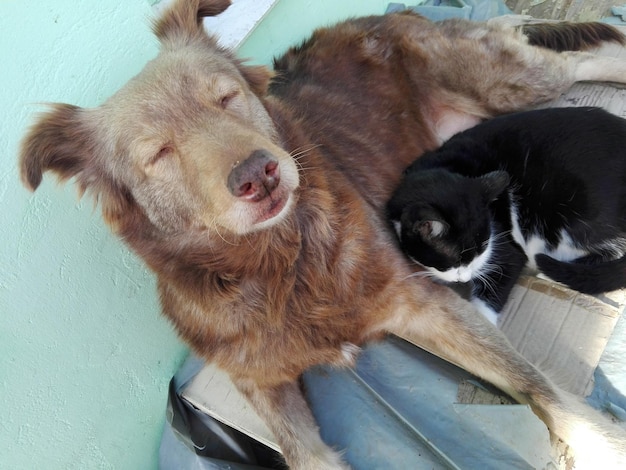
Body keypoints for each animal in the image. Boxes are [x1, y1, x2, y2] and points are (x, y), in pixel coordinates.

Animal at [388, 107, 620, 324]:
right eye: (455, 259)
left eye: (482, 250)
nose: (465, 278)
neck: (452, 168)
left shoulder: (506, 246)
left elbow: (502, 272)